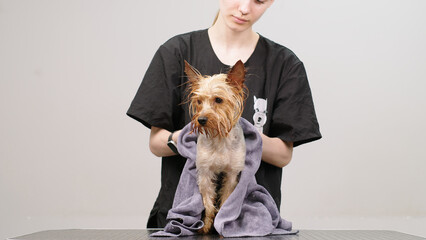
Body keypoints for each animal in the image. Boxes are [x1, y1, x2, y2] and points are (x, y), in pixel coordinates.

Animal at [185, 60, 248, 234]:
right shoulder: (205, 173)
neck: (219, 138)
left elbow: (226, 201)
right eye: (199, 101)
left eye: (218, 100)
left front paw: (221, 223)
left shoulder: (232, 174)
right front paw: (206, 225)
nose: (201, 120)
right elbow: (208, 204)